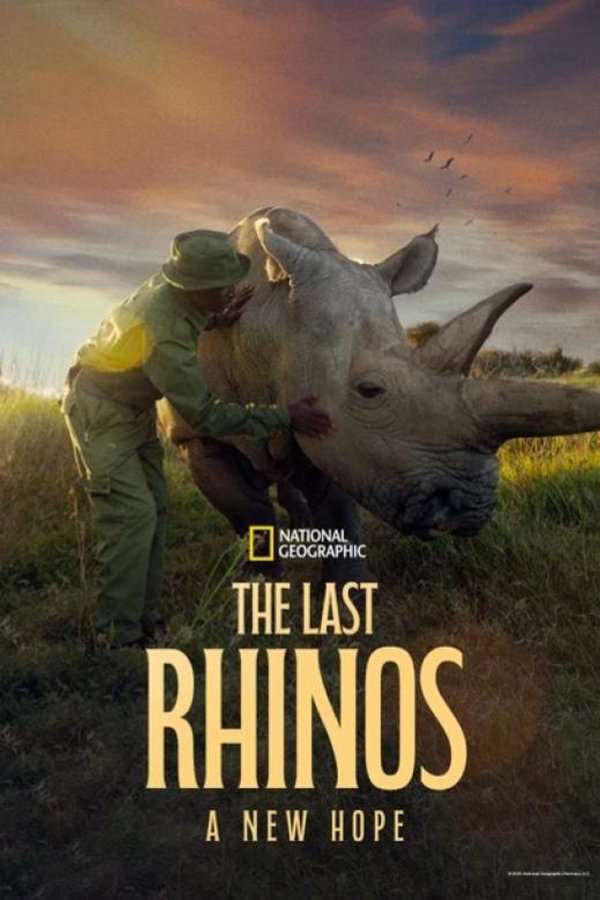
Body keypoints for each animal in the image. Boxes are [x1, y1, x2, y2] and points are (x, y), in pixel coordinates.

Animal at [158, 206, 600, 580]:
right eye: (369, 391)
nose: (470, 509)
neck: (272, 321)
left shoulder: (338, 432)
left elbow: (338, 513)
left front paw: (349, 592)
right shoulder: (195, 435)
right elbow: (248, 510)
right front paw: (259, 580)